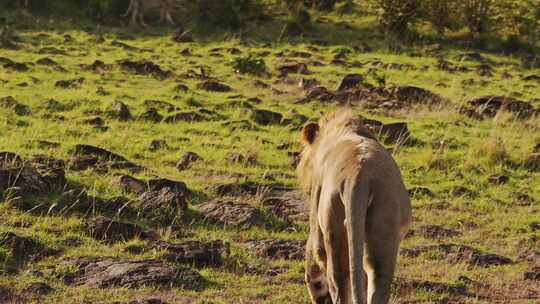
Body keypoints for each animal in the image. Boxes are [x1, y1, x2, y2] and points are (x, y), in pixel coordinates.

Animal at [298, 110, 412, 304]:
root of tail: (358, 175)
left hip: (332, 224)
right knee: (377, 280)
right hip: (384, 224)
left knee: (338, 280)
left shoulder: (316, 225)